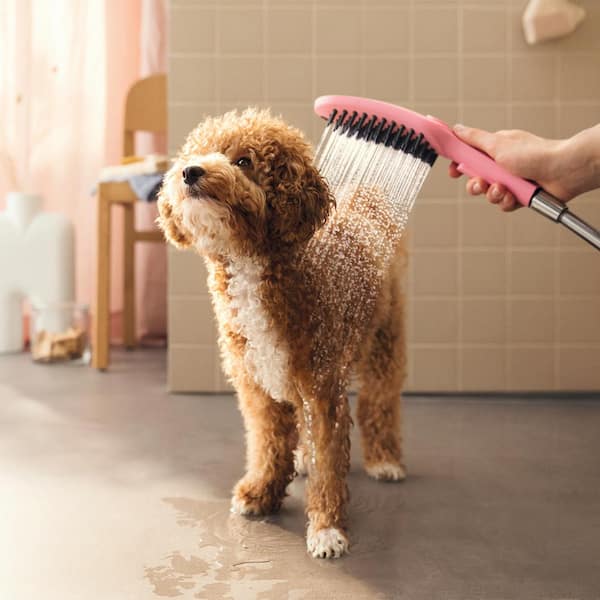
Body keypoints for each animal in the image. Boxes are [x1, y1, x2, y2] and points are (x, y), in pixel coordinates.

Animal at [156, 106, 408, 556]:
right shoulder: (256, 386)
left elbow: (329, 463)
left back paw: (385, 460)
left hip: (384, 341)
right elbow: (267, 444)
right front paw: (260, 493)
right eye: (197, 152)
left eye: (243, 161)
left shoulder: (323, 389)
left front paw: (327, 529)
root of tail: (367, 196)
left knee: (380, 402)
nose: (190, 171)